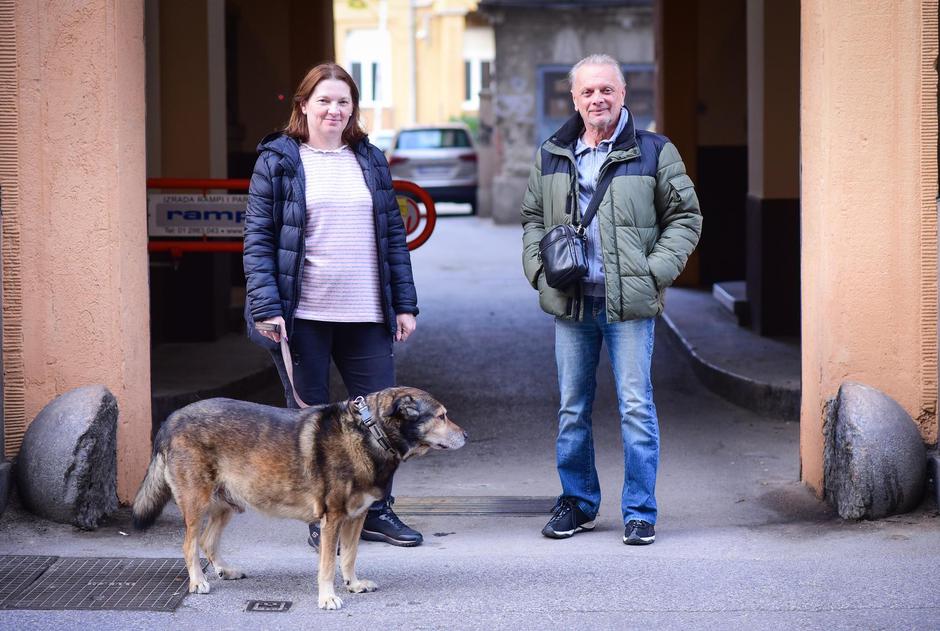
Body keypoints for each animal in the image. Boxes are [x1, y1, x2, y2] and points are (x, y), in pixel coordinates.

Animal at [132, 388, 466, 608]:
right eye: (442, 416)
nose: (467, 436)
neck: (371, 432)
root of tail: (170, 420)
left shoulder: (356, 518)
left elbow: (350, 557)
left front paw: (353, 584)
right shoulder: (333, 519)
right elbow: (328, 564)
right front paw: (328, 597)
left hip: (227, 504)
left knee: (207, 541)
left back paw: (225, 570)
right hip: (197, 503)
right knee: (189, 544)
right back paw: (197, 580)